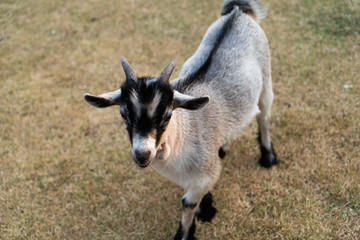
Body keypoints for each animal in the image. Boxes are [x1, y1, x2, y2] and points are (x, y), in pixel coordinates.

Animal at [84, 0, 278, 239]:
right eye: (123, 114)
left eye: (168, 115)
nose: (142, 154)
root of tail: (238, 13)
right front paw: (206, 206)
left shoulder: (207, 172)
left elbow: (188, 203)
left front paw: (187, 230)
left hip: (266, 79)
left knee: (264, 116)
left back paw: (268, 156)